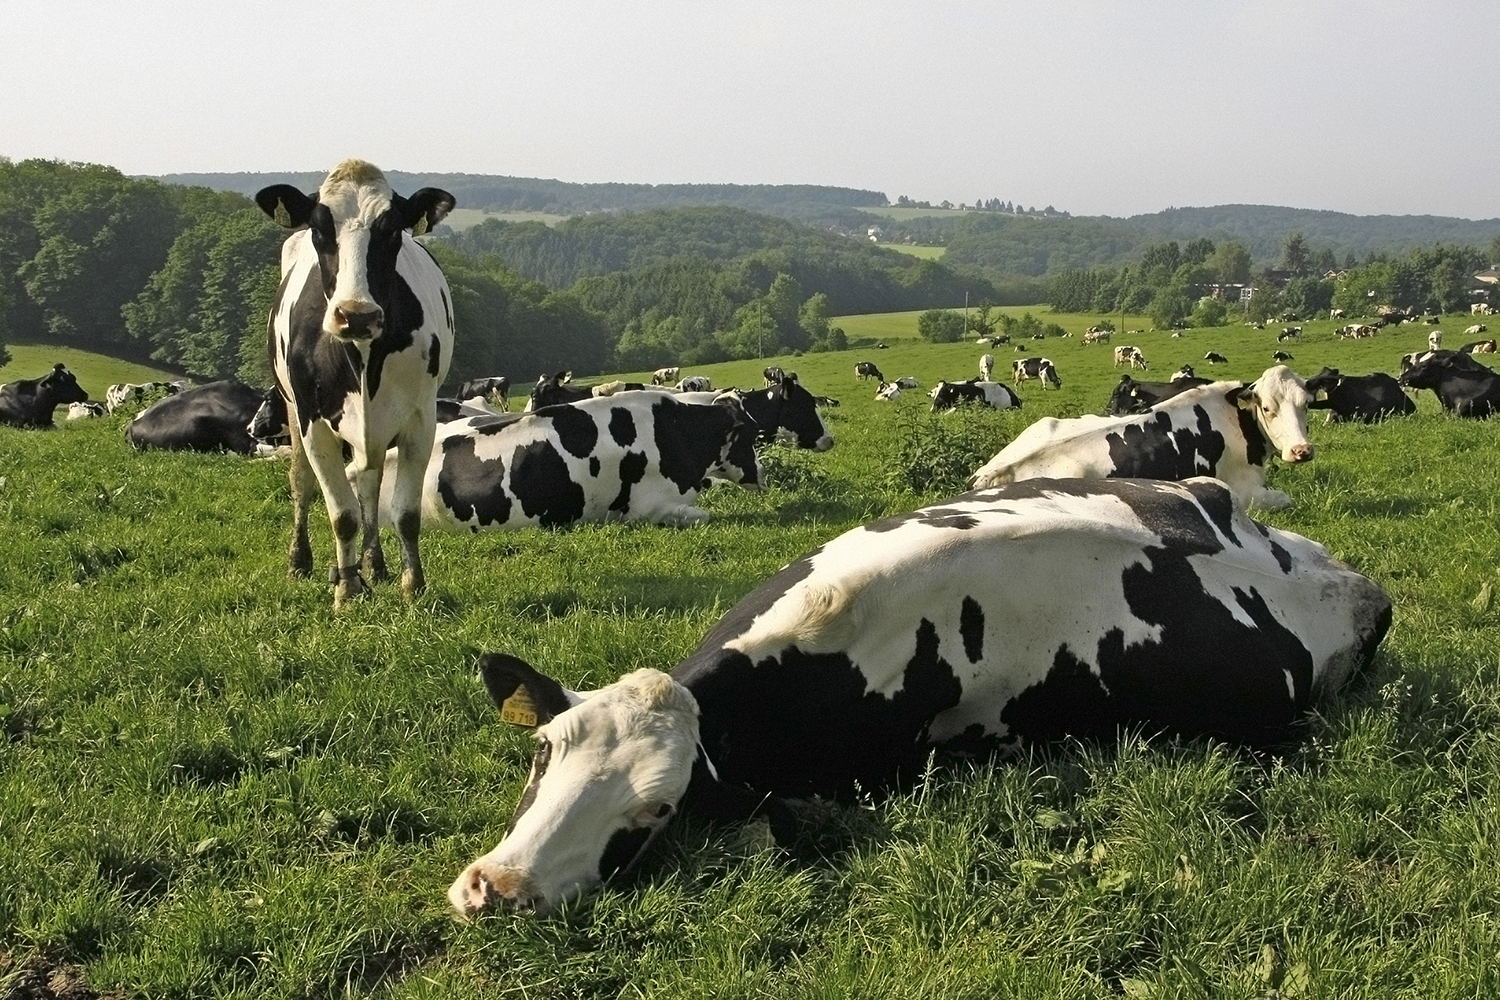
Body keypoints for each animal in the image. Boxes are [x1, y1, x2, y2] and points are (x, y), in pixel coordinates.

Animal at [255, 159, 455, 607]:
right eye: (319, 228)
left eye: (391, 229)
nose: (356, 314)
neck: (364, 357)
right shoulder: (312, 422)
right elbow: (342, 515)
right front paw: (346, 590)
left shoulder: (421, 418)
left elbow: (404, 513)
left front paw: (412, 584)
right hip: (292, 409)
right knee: (302, 483)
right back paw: (304, 562)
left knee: (368, 482)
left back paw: (374, 564)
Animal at [972, 366, 1316, 510]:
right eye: (1268, 408)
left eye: (1306, 403)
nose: (1302, 451)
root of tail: (993, 473)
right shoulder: (1246, 493)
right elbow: (1286, 499)